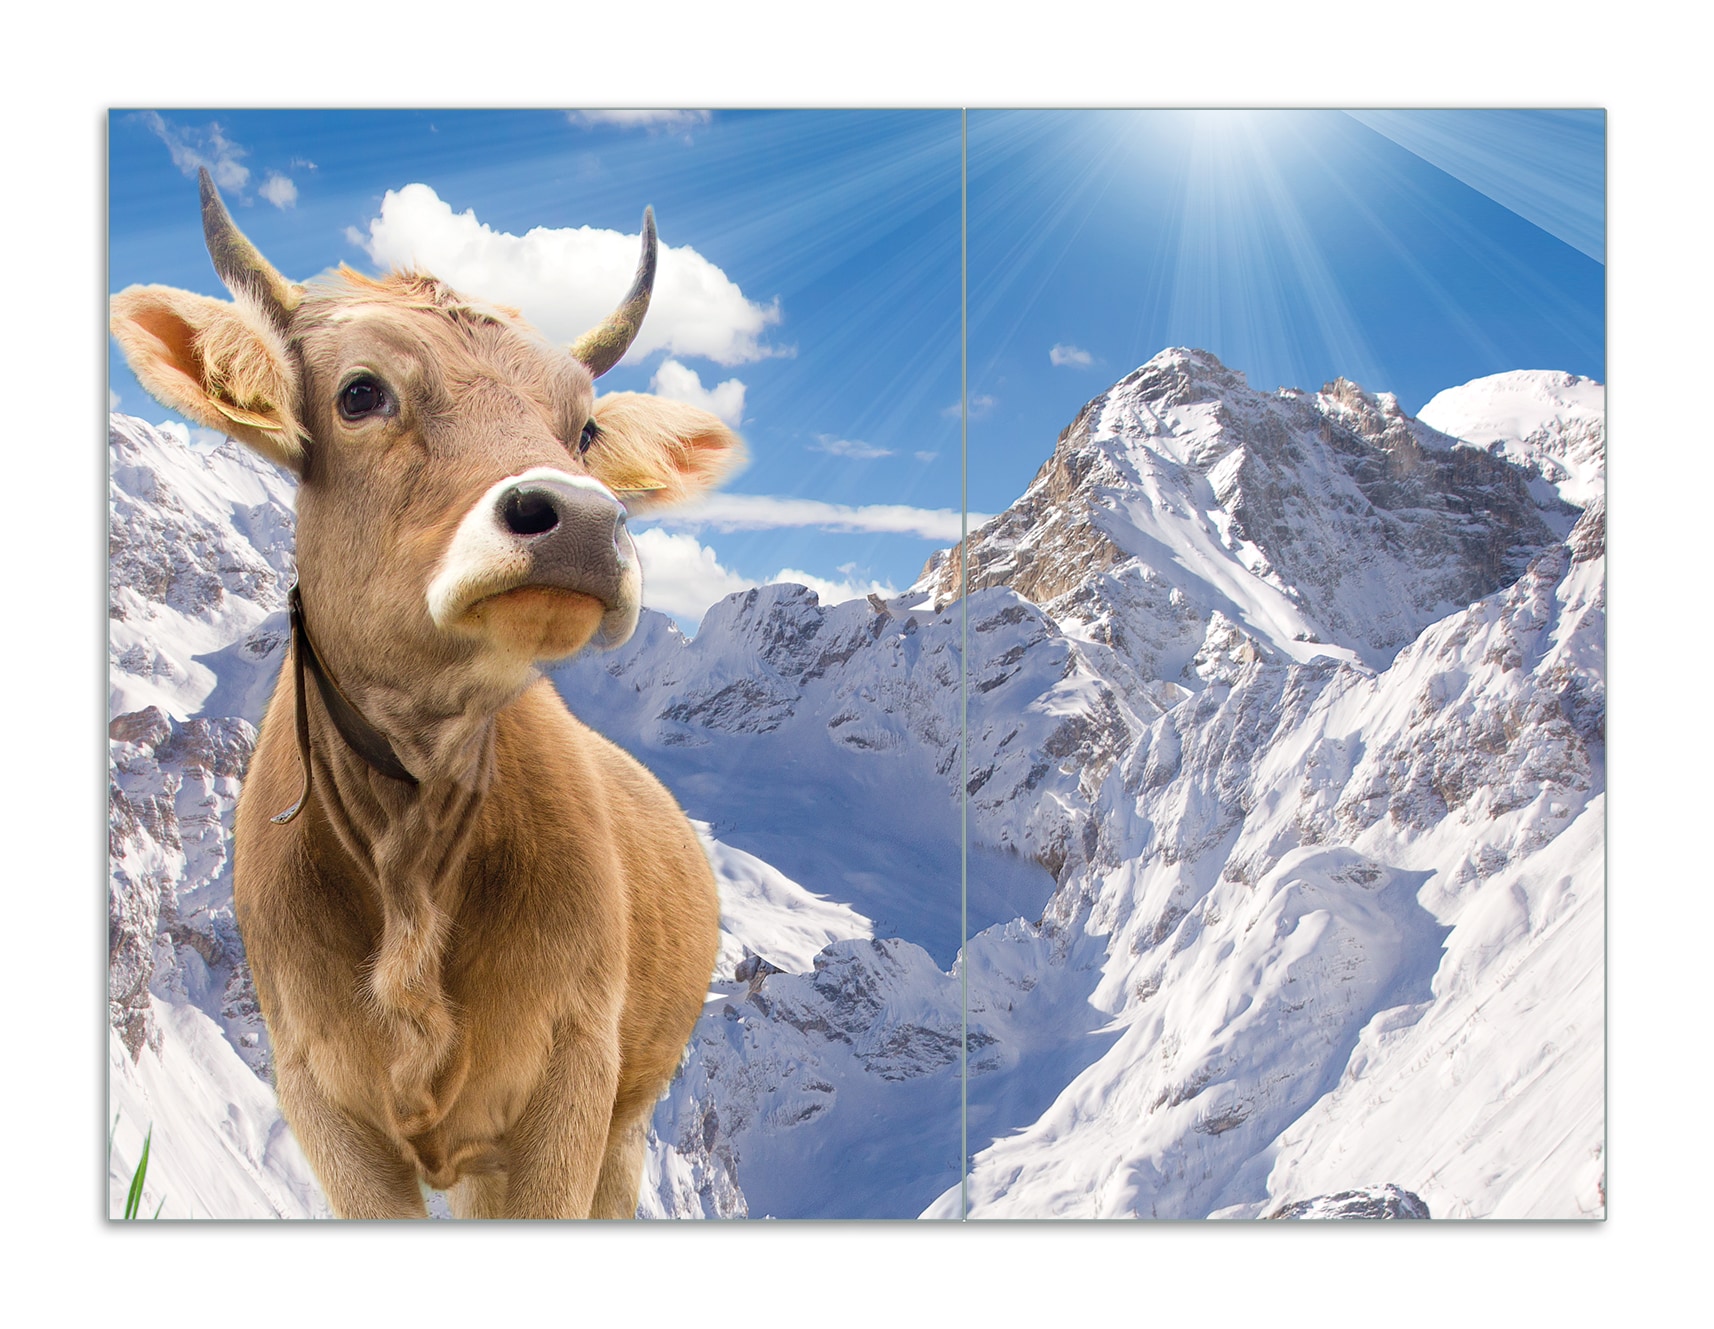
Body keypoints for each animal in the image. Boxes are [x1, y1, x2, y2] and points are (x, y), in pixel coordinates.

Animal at [110, 169, 741, 1218]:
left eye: (585, 427)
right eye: (361, 392)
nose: (580, 518)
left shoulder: (571, 1082)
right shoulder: (320, 1100)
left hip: (627, 1110)